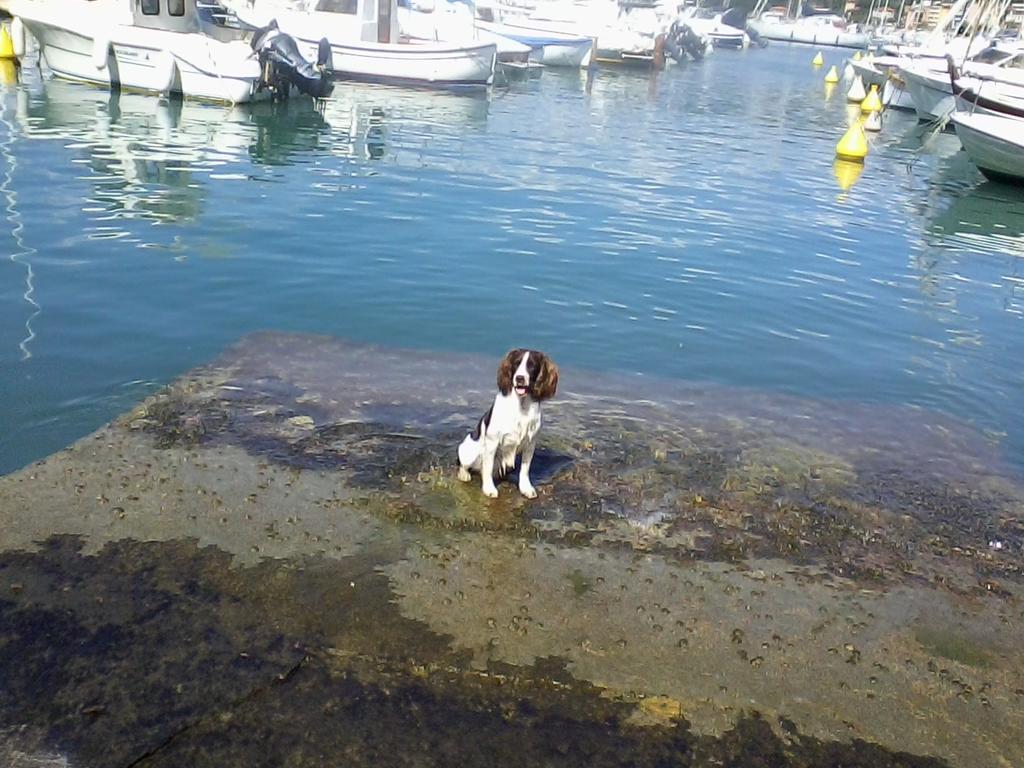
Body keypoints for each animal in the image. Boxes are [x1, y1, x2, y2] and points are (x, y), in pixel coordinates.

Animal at [460, 348, 561, 499]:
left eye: (531, 366)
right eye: (516, 363)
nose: (519, 378)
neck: (521, 406)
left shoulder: (530, 444)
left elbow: (525, 470)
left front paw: (525, 488)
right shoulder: (492, 442)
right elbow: (487, 467)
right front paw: (489, 488)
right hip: (469, 451)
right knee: (464, 464)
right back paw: (464, 475)